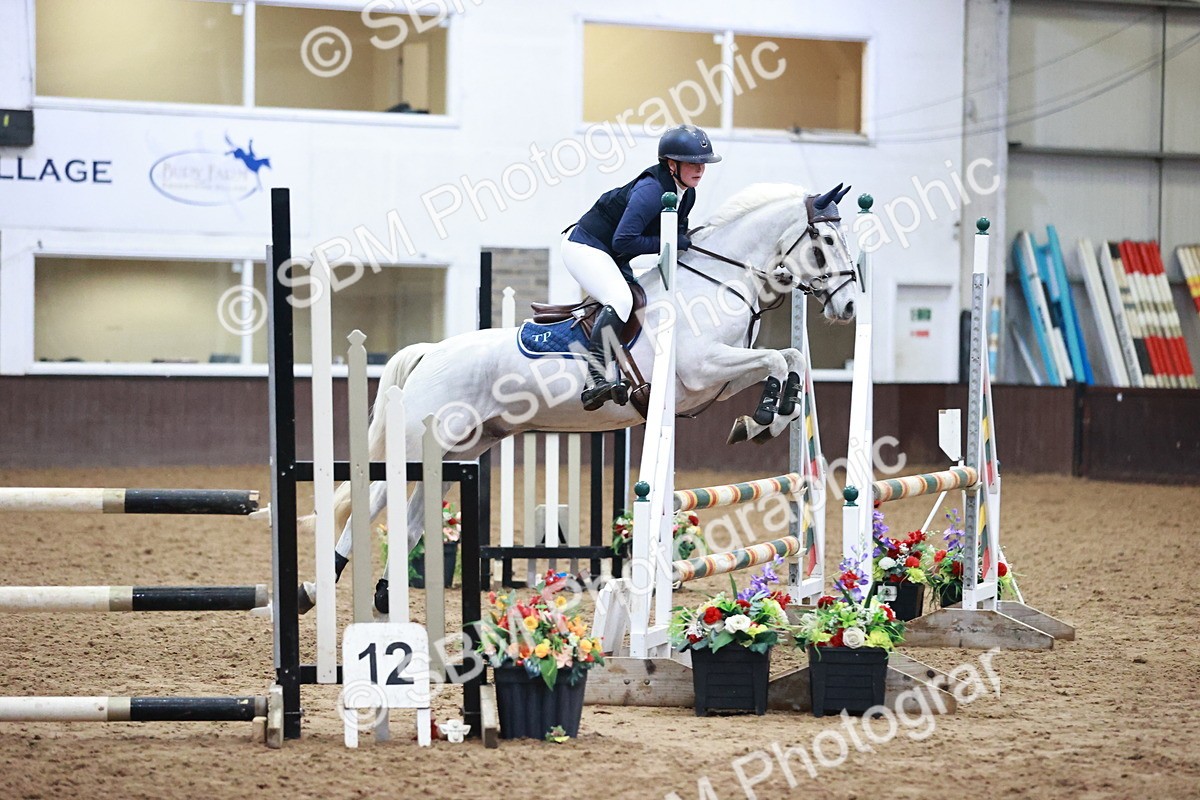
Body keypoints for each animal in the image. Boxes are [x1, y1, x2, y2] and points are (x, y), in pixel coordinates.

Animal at [300, 181, 859, 611]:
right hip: (417, 445)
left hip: (458, 450)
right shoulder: (704, 368)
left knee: (412, 521)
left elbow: (790, 358)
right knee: (371, 502)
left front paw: (769, 417)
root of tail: (431, 352)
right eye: (827, 240)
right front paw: (765, 415)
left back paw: (382, 595)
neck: (719, 281)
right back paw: (317, 589)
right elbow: (776, 361)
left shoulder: (717, 380)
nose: (851, 306)